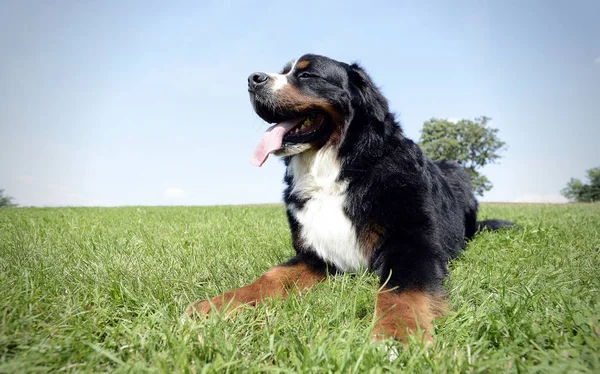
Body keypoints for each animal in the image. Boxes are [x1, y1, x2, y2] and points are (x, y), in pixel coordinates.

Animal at [183, 54, 510, 344]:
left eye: (307, 74)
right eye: (283, 71)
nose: (253, 79)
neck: (338, 172)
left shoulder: (412, 245)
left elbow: (400, 291)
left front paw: (396, 337)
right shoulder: (317, 253)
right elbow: (272, 276)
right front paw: (218, 304)